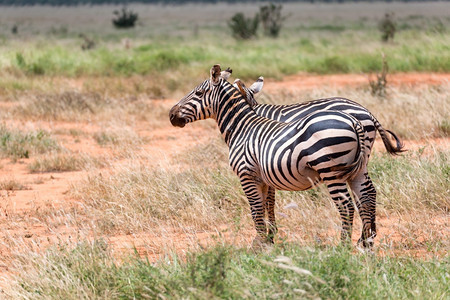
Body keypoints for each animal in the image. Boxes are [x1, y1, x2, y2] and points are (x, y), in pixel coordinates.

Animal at [169, 65, 386, 248]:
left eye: (198, 93)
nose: (171, 115)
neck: (242, 127)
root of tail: (358, 117)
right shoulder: (265, 176)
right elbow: (267, 204)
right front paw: (268, 238)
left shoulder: (247, 175)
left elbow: (256, 208)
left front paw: (259, 243)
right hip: (358, 168)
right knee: (367, 196)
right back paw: (366, 241)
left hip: (330, 170)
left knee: (346, 205)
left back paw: (342, 247)